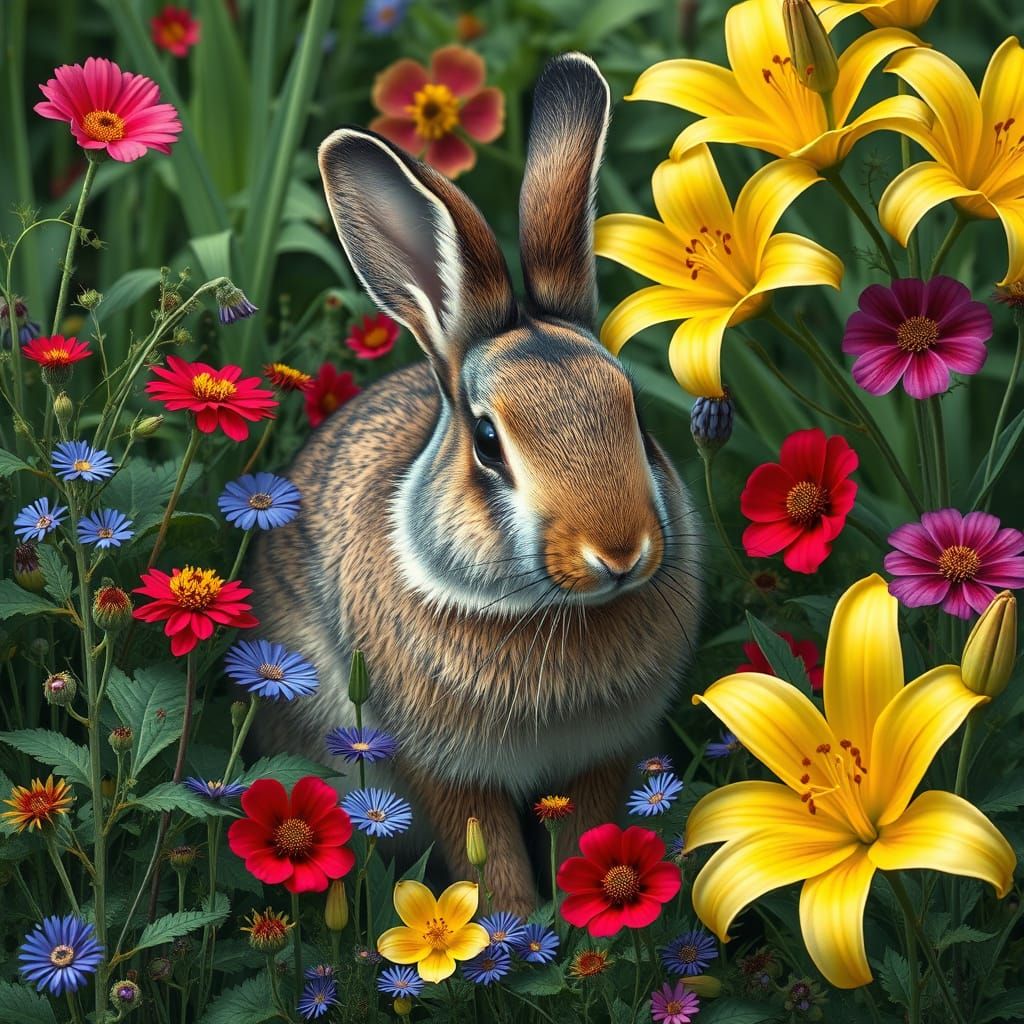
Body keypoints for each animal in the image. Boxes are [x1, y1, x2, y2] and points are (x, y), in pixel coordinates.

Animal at [246, 52, 701, 915]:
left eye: (634, 412)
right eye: (489, 443)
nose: (620, 553)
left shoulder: (602, 754)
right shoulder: (443, 770)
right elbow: (488, 866)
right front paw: (512, 932)